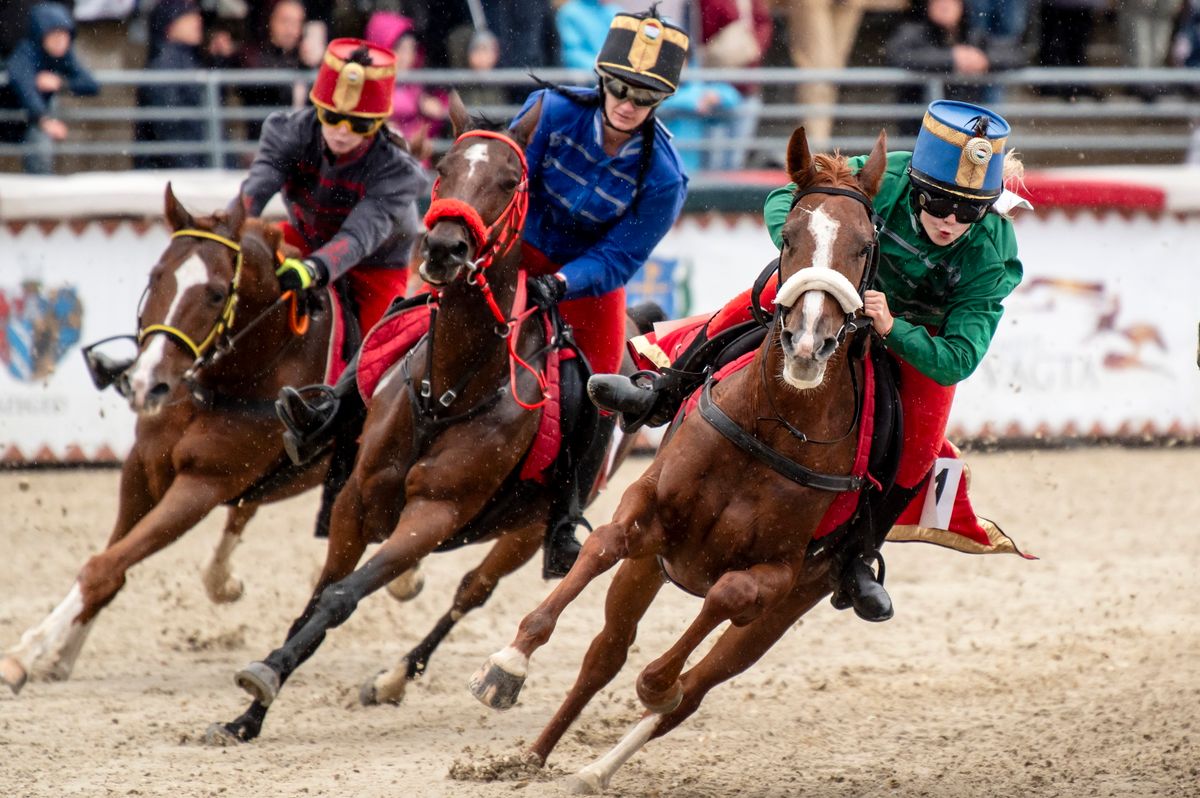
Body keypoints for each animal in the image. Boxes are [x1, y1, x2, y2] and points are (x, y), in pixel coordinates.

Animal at [0, 189, 333, 696]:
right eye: (155, 277)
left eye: (216, 293)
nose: (147, 384)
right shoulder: (143, 469)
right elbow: (113, 564)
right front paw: (61, 651)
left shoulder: (202, 485)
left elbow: (104, 566)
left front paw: (25, 652)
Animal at [202, 99, 643, 748]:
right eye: (443, 169)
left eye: (510, 181)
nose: (443, 248)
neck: (452, 391)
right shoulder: (357, 501)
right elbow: (317, 597)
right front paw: (248, 715)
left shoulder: (434, 513)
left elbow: (341, 597)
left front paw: (269, 674)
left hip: (526, 530)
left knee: (472, 591)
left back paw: (400, 677)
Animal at [470, 127, 892, 792]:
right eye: (789, 236)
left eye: (865, 245)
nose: (807, 343)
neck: (770, 427)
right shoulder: (649, 510)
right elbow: (604, 543)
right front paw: (508, 661)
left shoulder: (777, 575)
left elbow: (723, 603)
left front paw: (656, 683)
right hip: (649, 568)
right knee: (604, 654)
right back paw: (534, 757)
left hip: (786, 609)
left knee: (693, 687)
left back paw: (598, 765)